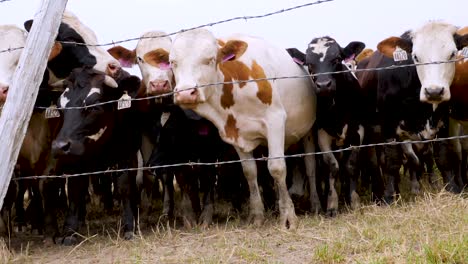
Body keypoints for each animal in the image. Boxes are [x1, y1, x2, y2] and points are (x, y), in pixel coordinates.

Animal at [168, 28, 318, 227]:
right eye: (173, 62)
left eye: (209, 59)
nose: (185, 93)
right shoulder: (236, 133)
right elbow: (249, 172)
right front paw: (257, 216)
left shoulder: (275, 121)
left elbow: (277, 168)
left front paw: (288, 216)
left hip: (308, 133)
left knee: (310, 166)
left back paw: (315, 202)